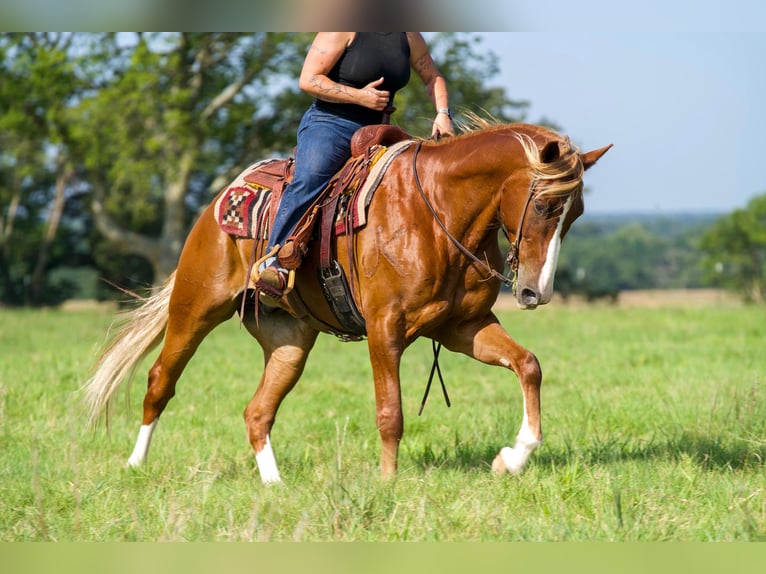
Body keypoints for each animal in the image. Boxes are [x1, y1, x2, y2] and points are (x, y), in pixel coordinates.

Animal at [83, 118, 611, 484]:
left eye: (576, 214)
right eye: (543, 205)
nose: (536, 292)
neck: (437, 213)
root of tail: (221, 201)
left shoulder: (462, 326)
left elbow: (528, 365)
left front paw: (513, 458)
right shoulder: (385, 329)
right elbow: (390, 412)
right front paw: (388, 483)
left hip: (290, 342)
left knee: (258, 412)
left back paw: (275, 485)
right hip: (195, 309)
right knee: (160, 380)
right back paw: (135, 465)